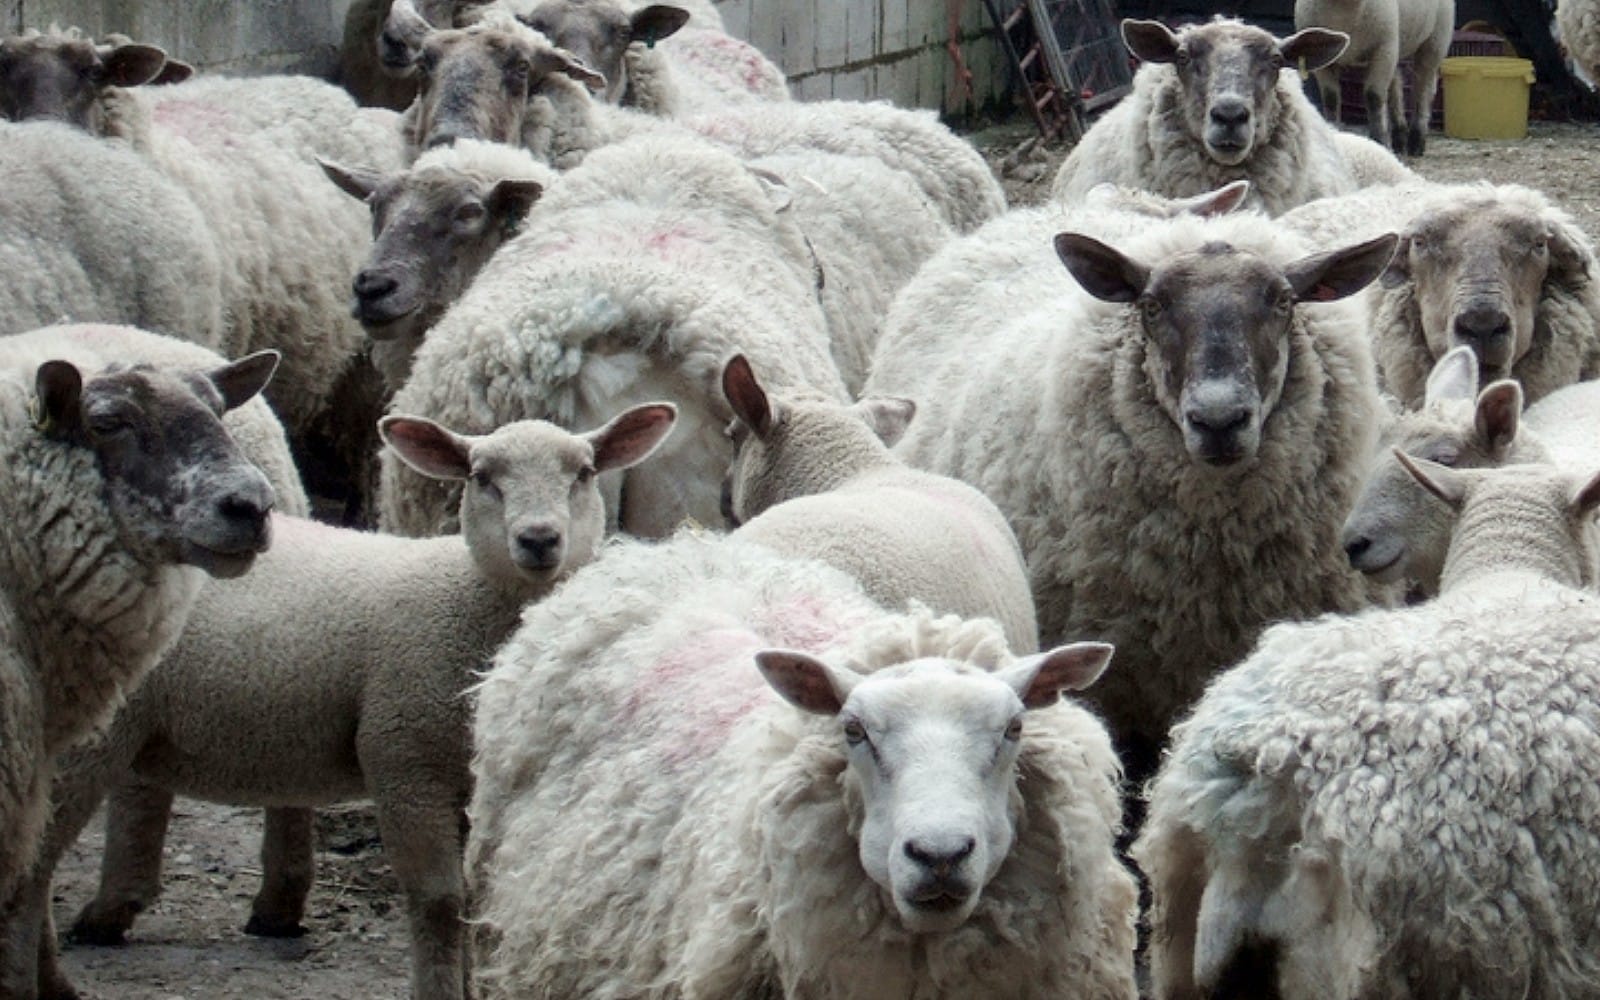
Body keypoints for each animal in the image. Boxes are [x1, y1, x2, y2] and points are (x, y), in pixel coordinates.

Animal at [5, 403, 679, 1000]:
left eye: (583, 473)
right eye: (482, 477)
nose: (538, 540)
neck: (472, 602)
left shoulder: (463, 778)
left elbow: (467, 902)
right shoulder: (402, 754)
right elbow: (438, 900)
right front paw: (438, 991)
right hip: (91, 737)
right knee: (30, 869)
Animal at [1295, 0, 1455, 155]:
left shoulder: (1383, 48)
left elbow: (1374, 97)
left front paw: (1380, 141)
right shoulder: (1324, 62)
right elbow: (1330, 99)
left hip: (1436, 38)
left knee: (1423, 88)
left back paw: (1416, 143)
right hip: (1397, 45)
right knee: (1396, 83)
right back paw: (1400, 138)